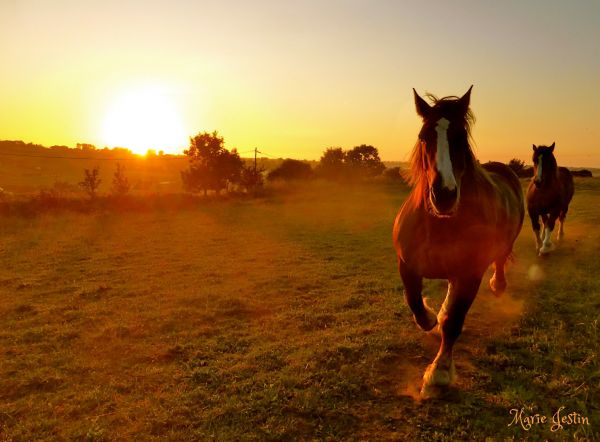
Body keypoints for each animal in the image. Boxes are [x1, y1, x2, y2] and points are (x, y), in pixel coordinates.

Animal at [392, 85, 524, 398]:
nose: (444, 195)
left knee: (500, 260)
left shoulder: (470, 274)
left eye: (460, 137)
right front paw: (430, 317)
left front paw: (439, 371)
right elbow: (415, 303)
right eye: (423, 137)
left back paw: (498, 284)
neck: (438, 223)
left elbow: (454, 322)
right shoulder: (407, 265)